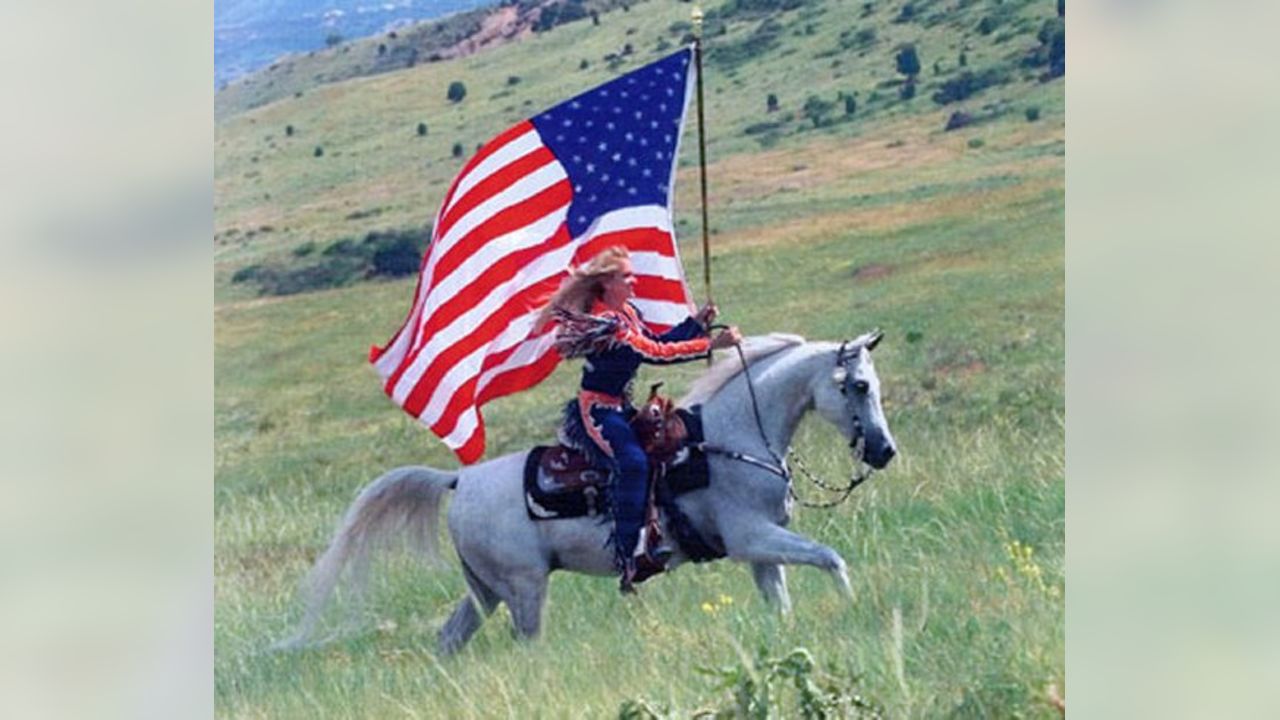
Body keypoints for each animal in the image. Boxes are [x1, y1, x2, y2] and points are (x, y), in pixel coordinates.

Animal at [280, 330, 901, 650]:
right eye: (858, 385)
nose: (883, 451)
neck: (731, 436)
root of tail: (460, 480)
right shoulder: (753, 538)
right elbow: (831, 558)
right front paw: (852, 607)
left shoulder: (759, 553)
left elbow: (782, 602)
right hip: (524, 588)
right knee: (525, 642)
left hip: (484, 589)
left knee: (451, 636)